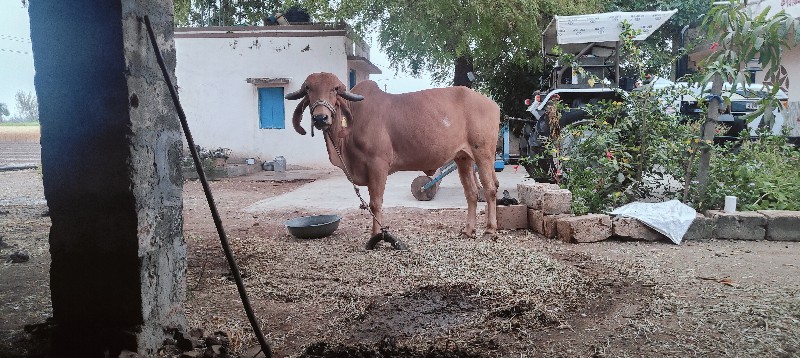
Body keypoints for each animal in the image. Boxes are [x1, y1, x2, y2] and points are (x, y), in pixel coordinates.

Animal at [288, 72, 500, 246]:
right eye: (309, 89)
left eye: (334, 89)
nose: (320, 118)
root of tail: (492, 104)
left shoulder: (378, 165)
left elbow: (375, 203)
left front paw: (376, 237)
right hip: (463, 158)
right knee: (472, 193)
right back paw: (468, 230)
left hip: (483, 153)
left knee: (490, 189)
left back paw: (490, 230)